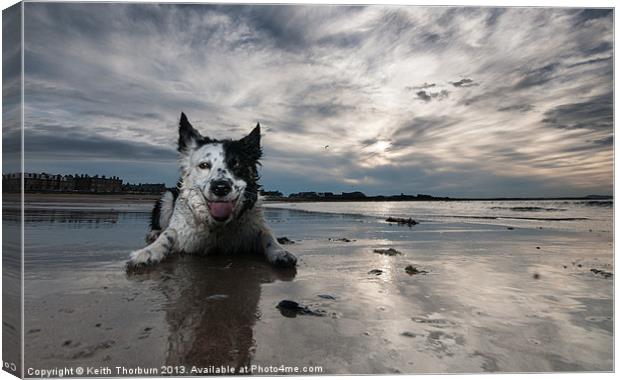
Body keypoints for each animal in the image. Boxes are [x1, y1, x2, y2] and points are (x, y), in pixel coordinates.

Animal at [124, 113, 296, 270]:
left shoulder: (254, 226)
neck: (218, 226)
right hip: (167, 197)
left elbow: (267, 234)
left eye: (236, 164)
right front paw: (148, 252)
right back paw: (154, 233)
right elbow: (168, 234)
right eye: (204, 165)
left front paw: (280, 252)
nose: (220, 188)